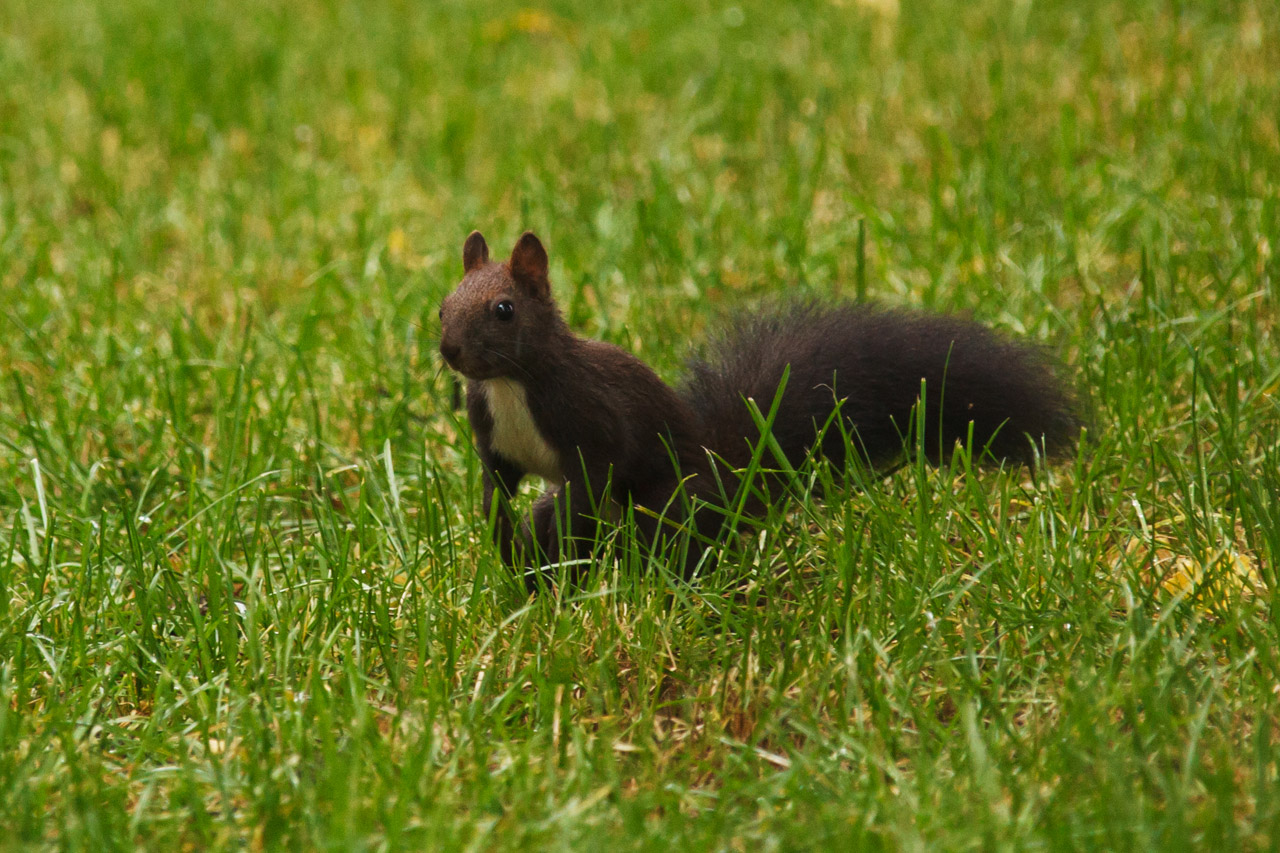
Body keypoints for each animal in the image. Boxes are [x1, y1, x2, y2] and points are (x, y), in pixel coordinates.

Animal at [440, 227, 1080, 584]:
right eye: (444, 304)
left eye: (503, 310)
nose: (448, 350)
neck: (510, 385)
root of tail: (730, 479)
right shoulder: (494, 439)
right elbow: (497, 481)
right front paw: (503, 533)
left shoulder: (591, 421)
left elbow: (594, 478)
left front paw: (562, 543)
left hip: (677, 500)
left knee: (668, 534)